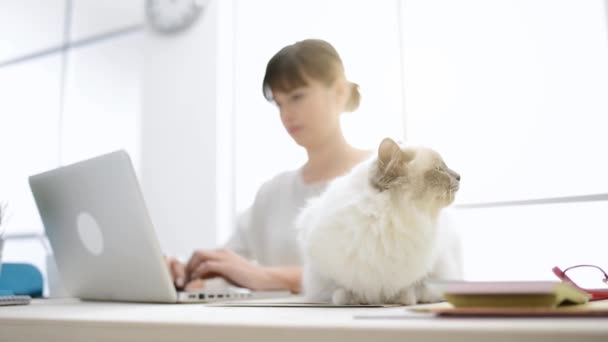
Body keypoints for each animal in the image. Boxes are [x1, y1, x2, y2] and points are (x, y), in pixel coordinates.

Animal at [294, 138, 460, 304]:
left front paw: (398, 298)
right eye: (439, 169)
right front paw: (356, 298)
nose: (459, 176)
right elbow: (341, 291)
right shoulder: (327, 273)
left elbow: (414, 289)